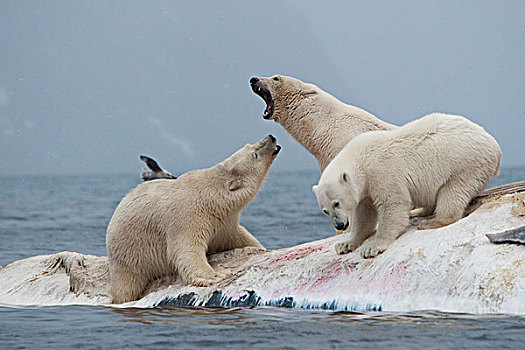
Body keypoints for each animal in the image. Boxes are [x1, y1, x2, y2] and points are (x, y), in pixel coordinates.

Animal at [104, 135, 280, 304]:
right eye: (255, 153)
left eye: (249, 145)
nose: (271, 137)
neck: (212, 195)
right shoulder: (189, 215)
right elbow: (186, 249)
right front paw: (216, 275)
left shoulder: (223, 222)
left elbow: (240, 237)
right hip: (129, 255)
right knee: (127, 285)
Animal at [312, 113, 500, 258]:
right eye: (325, 210)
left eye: (337, 203)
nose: (340, 225)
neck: (361, 159)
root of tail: (494, 146)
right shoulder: (365, 188)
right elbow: (365, 214)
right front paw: (345, 244)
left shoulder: (382, 172)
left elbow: (393, 206)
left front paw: (372, 248)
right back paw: (418, 212)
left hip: (467, 163)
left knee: (453, 191)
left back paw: (432, 222)